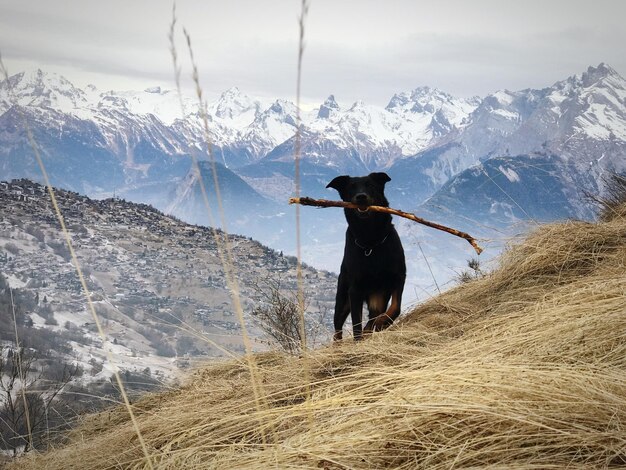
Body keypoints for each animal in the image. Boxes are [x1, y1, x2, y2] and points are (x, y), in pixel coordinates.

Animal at [324, 173, 408, 342]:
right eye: (351, 187)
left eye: (371, 185)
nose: (361, 196)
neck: (370, 241)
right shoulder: (355, 290)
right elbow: (356, 324)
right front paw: (358, 341)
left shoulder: (399, 277)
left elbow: (396, 307)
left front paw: (383, 322)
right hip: (343, 299)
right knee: (338, 329)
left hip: (379, 297)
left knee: (371, 320)